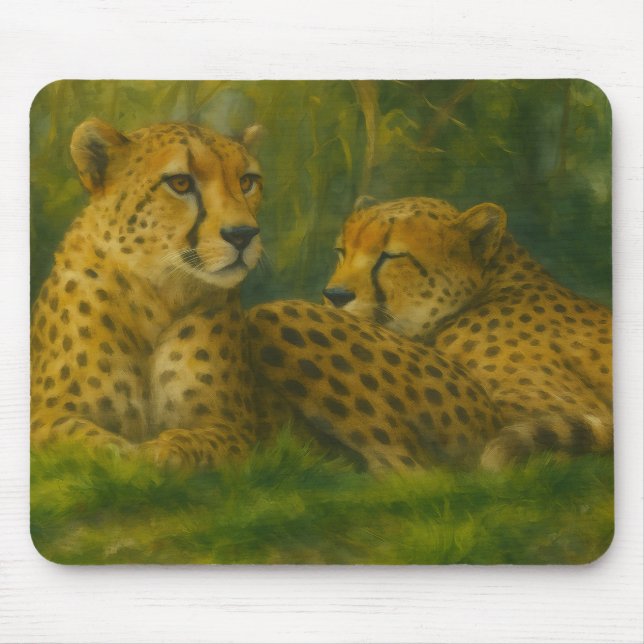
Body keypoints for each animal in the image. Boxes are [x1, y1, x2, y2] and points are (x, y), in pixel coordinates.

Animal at [31, 117, 268, 468]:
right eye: (180, 183)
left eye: (247, 181)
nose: (243, 234)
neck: (158, 295)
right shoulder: (43, 414)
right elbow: (75, 434)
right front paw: (120, 452)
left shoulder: (234, 427)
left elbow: (197, 440)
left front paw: (163, 450)